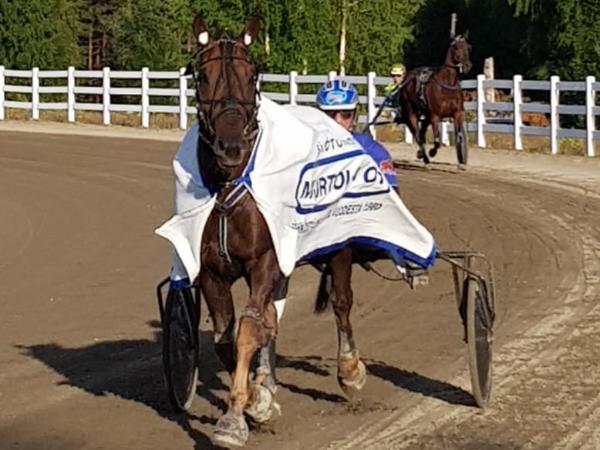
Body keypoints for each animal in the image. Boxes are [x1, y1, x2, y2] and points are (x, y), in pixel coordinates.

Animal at [185, 14, 367, 447]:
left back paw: (350, 369)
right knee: (273, 317)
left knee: (342, 301)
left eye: (252, 75)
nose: (231, 145)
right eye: (203, 76)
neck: (229, 187)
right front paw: (258, 397)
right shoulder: (213, 272)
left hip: (336, 245)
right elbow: (227, 338)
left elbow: (250, 328)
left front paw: (236, 418)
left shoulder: (264, 261)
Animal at [399, 34, 472, 166]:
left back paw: (422, 154)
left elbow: (459, 135)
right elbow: (437, 141)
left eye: (468, 47)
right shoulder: (436, 116)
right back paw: (425, 157)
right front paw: (432, 152)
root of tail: (407, 77)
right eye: (456, 47)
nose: (467, 66)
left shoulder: (458, 113)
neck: (447, 84)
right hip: (411, 112)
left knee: (421, 132)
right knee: (417, 134)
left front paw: (462, 159)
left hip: (426, 114)